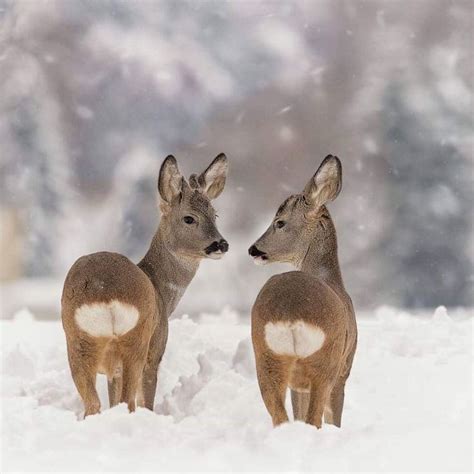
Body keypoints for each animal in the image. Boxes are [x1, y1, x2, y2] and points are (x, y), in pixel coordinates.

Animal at [61, 154, 230, 416]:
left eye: (215, 215)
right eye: (189, 218)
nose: (221, 244)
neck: (161, 291)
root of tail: (104, 293)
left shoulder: (112, 370)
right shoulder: (156, 349)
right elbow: (145, 401)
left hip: (77, 341)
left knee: (94, 404)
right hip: (137, 340)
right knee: (128, 402)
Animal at [248, 155, 356, 430]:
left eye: (280, 222)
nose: (253, 249)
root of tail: (290, 315)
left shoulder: (298, 384)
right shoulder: (345, 367)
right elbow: (334, 417)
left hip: (266, 357)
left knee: (280, 416)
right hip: (325, 362)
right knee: (314, 418)